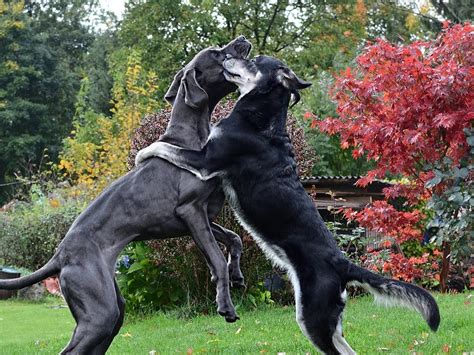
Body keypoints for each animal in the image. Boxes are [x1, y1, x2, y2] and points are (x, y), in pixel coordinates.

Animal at [0, 36, 252, 355]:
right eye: (218, 54)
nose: (242, 40)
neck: (189, 138)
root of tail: (59, 256)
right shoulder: (190, 211)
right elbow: (217, 259)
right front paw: (226, 306)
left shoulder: (203, 217)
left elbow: (234, 238)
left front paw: (237, 274)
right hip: (99, 311)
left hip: (111, 307)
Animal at [136, 55, 440, 354]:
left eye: (253, 60)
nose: (228, 57)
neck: (262, 116)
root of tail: (342, 263)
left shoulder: (206, 160)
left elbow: (166, 148)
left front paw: (142, 153)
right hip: (330, 321)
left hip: (312, 317)